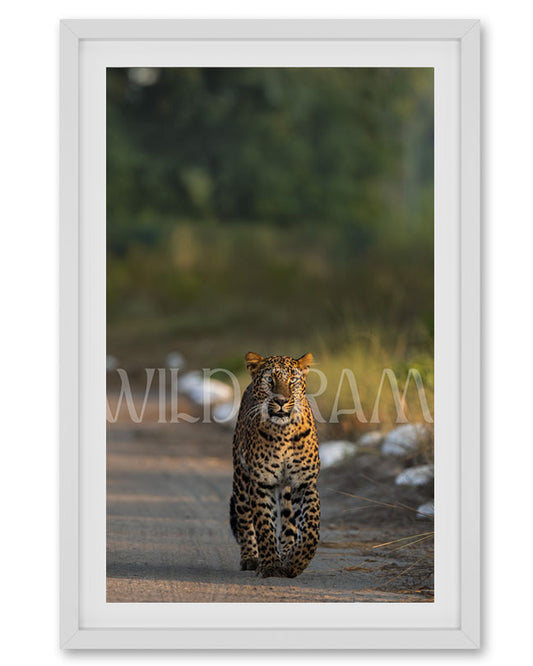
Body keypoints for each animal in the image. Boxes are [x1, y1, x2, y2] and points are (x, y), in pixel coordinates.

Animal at [229, 352, 320, 578]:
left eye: (292, 380)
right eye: (270, 380)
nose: (281, 401)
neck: (283, 432)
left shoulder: (304, 483)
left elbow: (311, 529)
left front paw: (295, 562)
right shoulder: (262, 484)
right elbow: (264, 526)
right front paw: (270, 565)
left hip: (286, 490)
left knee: (289, 522)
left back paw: (287, 551)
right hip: (241, 479)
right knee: (244, 518)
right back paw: (250, 558)